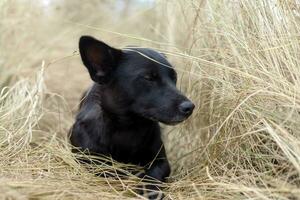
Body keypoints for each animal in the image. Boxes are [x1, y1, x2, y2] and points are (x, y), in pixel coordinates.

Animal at [70, 36, 196, 198]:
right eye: (148, 78)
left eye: (174, 77)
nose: (189, 107)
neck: (128, 127)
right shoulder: (92, 161)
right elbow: (112, 171)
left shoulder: (161, 161)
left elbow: (153, 175)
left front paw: (150, 190)